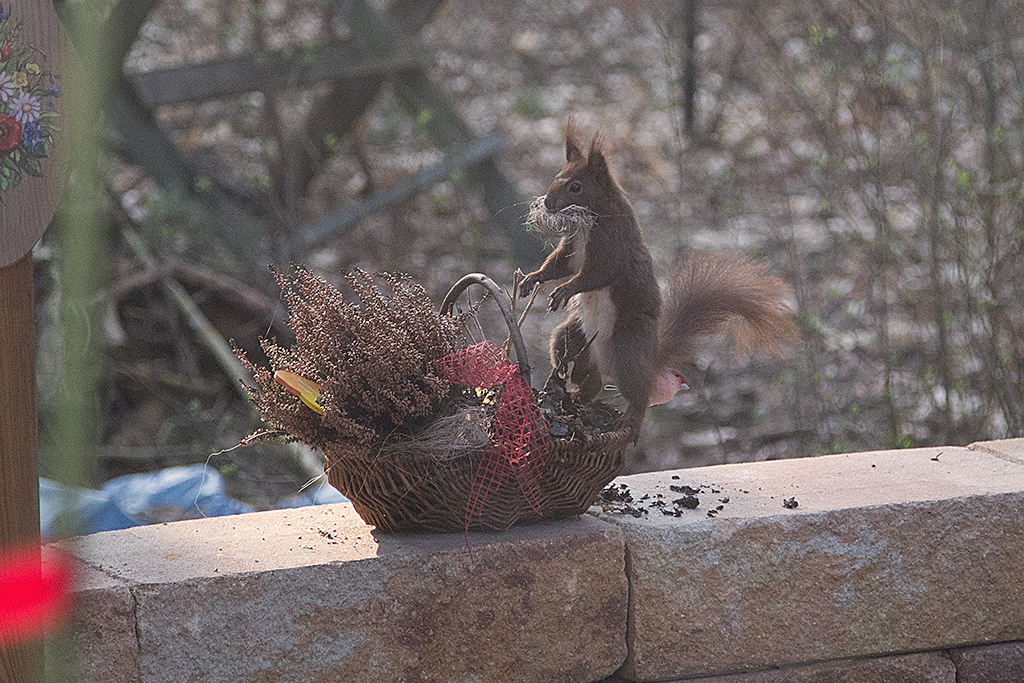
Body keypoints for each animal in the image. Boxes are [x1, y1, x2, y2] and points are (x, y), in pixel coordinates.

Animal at [520, 120, 798, 436]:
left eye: (575, 187)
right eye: (557, 177)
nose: (548, 203)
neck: (591, 222)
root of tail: (649, 359)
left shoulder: (612, 243)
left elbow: (597, 273)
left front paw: (565, 290)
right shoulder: (572, 246)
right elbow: (558, 264)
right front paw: (534, 278)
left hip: (628, 344)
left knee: (639, 395)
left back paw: (630, 420)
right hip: (575, 336)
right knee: (586, 373)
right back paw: (564, 388)